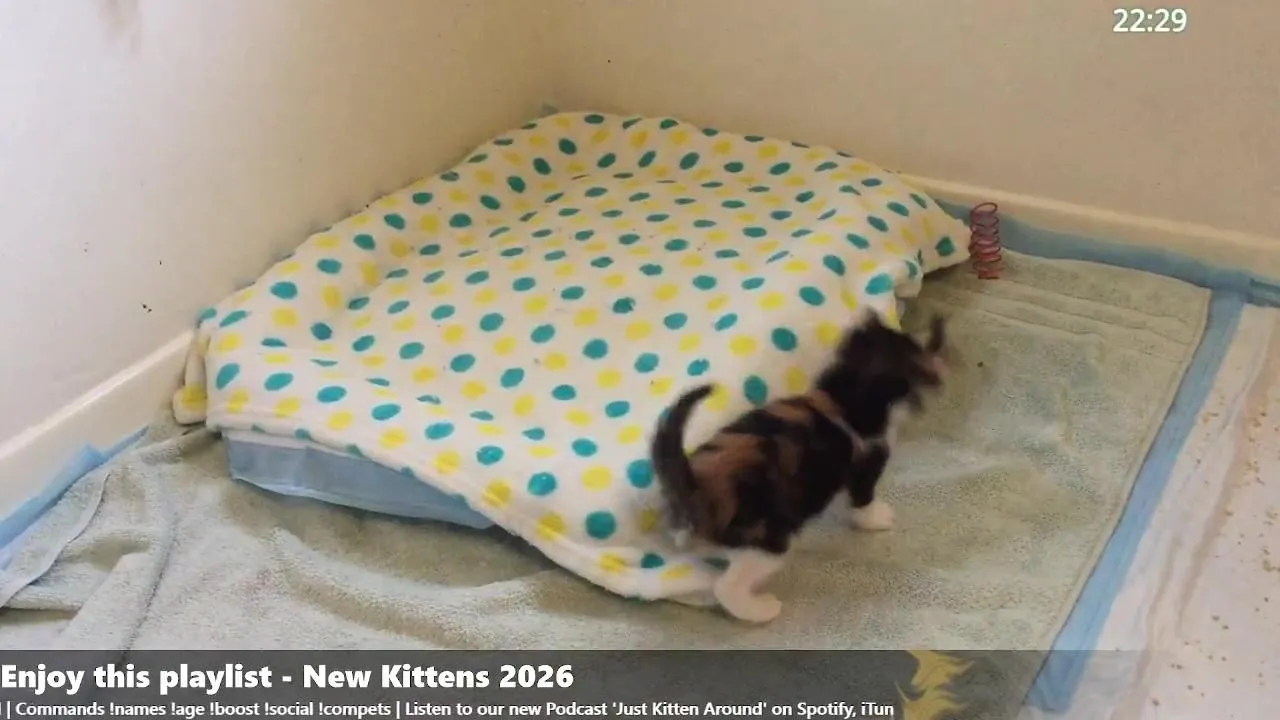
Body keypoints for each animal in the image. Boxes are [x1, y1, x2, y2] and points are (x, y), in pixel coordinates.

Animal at [649, 312, 947, 623]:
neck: (843, 397)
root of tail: (696, 487)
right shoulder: (867, 462)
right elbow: (863, 498)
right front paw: (876, 518)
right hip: (769, 537)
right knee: (727, 586)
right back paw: (760, 609)